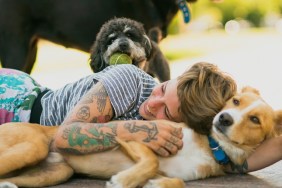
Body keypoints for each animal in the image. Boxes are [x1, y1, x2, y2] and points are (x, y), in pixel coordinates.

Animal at [0, 86, 280, 187]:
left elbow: (174, 182)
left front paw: (150, 184)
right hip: (33, 147)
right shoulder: (138, 136)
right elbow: (152, 161)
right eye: (235, 101)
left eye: (255, 119)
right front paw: (123, 181)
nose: (224, 118)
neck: (210, 146)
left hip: (54, 172)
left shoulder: (174, 174)